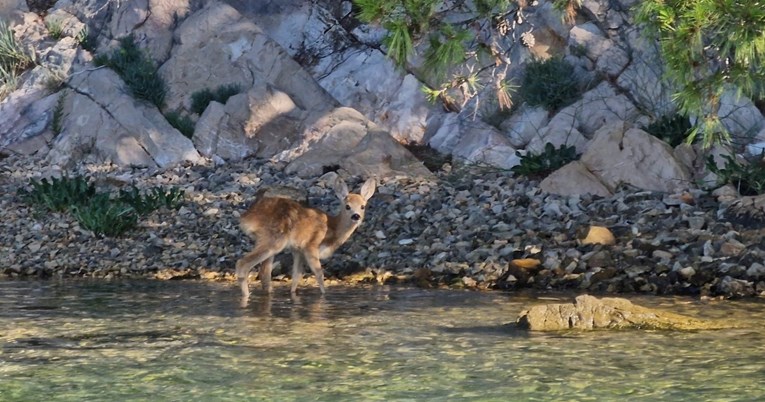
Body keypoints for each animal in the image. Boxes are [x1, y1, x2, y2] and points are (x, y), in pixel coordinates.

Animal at [234, 177, 374, 298]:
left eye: (363, 206)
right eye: (347, 206)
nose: (356, 216)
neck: (331, 229)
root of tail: (246, 218)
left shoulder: (298, 250)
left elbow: (297, 276)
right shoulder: (310, 245)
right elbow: (319, 273)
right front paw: (324, 295)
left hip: (269, 242)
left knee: (265, 273)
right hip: (274, 240)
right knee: (242, 264)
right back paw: (246, 296)